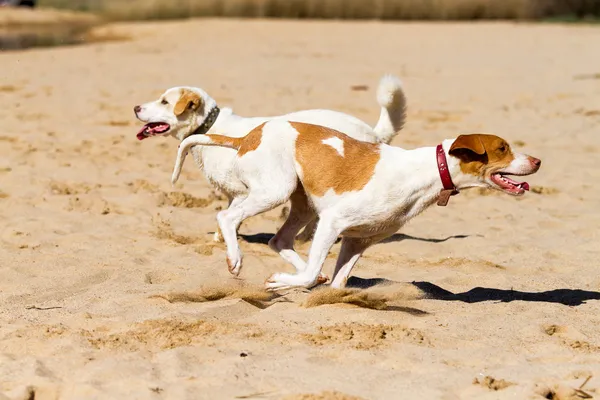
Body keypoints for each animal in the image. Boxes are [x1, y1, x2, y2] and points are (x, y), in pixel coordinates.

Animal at [172, 120, 540, 290]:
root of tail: (248, 134)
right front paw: (283, 282)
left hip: (302, 203)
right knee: (227, 216)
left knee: (280, 241)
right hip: (276, 191)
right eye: (503, 148)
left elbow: (337, 282)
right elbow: (311, 275)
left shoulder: (358, 239)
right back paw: (237, 259)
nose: (537, 161)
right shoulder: (333, 222)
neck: (423, 171)